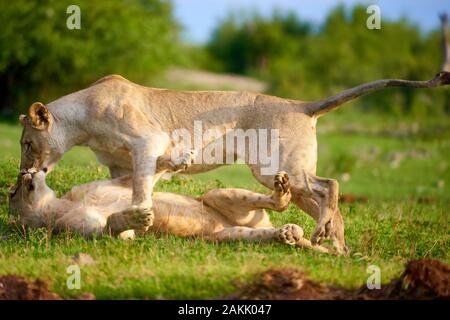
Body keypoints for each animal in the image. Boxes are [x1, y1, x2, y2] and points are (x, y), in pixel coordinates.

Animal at [7, 165, 330, 252]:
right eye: (12, 191)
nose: (25, 171)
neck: (58, 204)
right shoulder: (84, 232)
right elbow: (113, 228)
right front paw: (138, 215)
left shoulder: (115, 182)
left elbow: (135, 178)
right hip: (229, 236)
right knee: (267, 234)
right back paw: (287, 233)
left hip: (218, 195)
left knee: (274, 203)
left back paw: (283, 191)